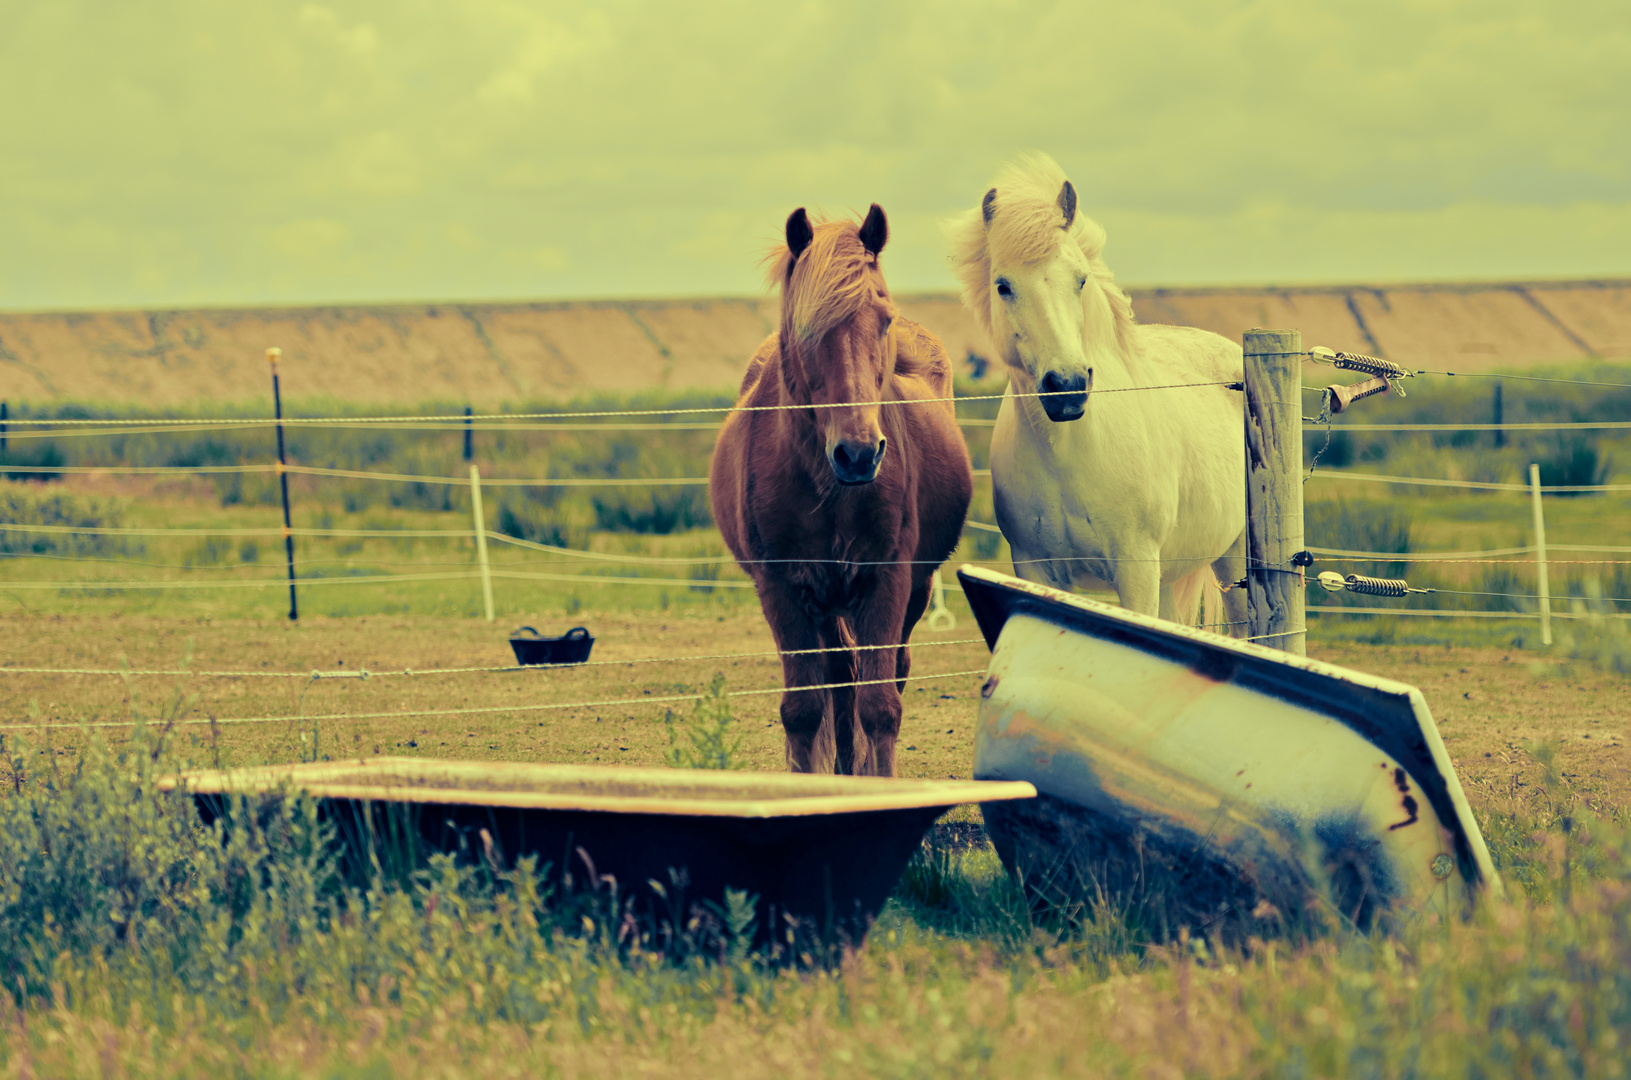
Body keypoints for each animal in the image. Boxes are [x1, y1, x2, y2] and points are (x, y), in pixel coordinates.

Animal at [711, 205, 965, 779]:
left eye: (884, 318)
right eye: (804, 329)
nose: (859, 452)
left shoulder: (888, 579)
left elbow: (880, 706)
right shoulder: (783, 588)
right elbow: (805, 710)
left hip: (911, 591)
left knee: (887, 672)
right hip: (826, 605)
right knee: (840, 676)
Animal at [952, 154, 1239, 636]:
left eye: (1080, 280)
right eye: (1003, 285)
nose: (1066, 385)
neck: (1069, 453)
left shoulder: (1136, 569)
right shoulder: (1036, 569)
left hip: (1237, 560)